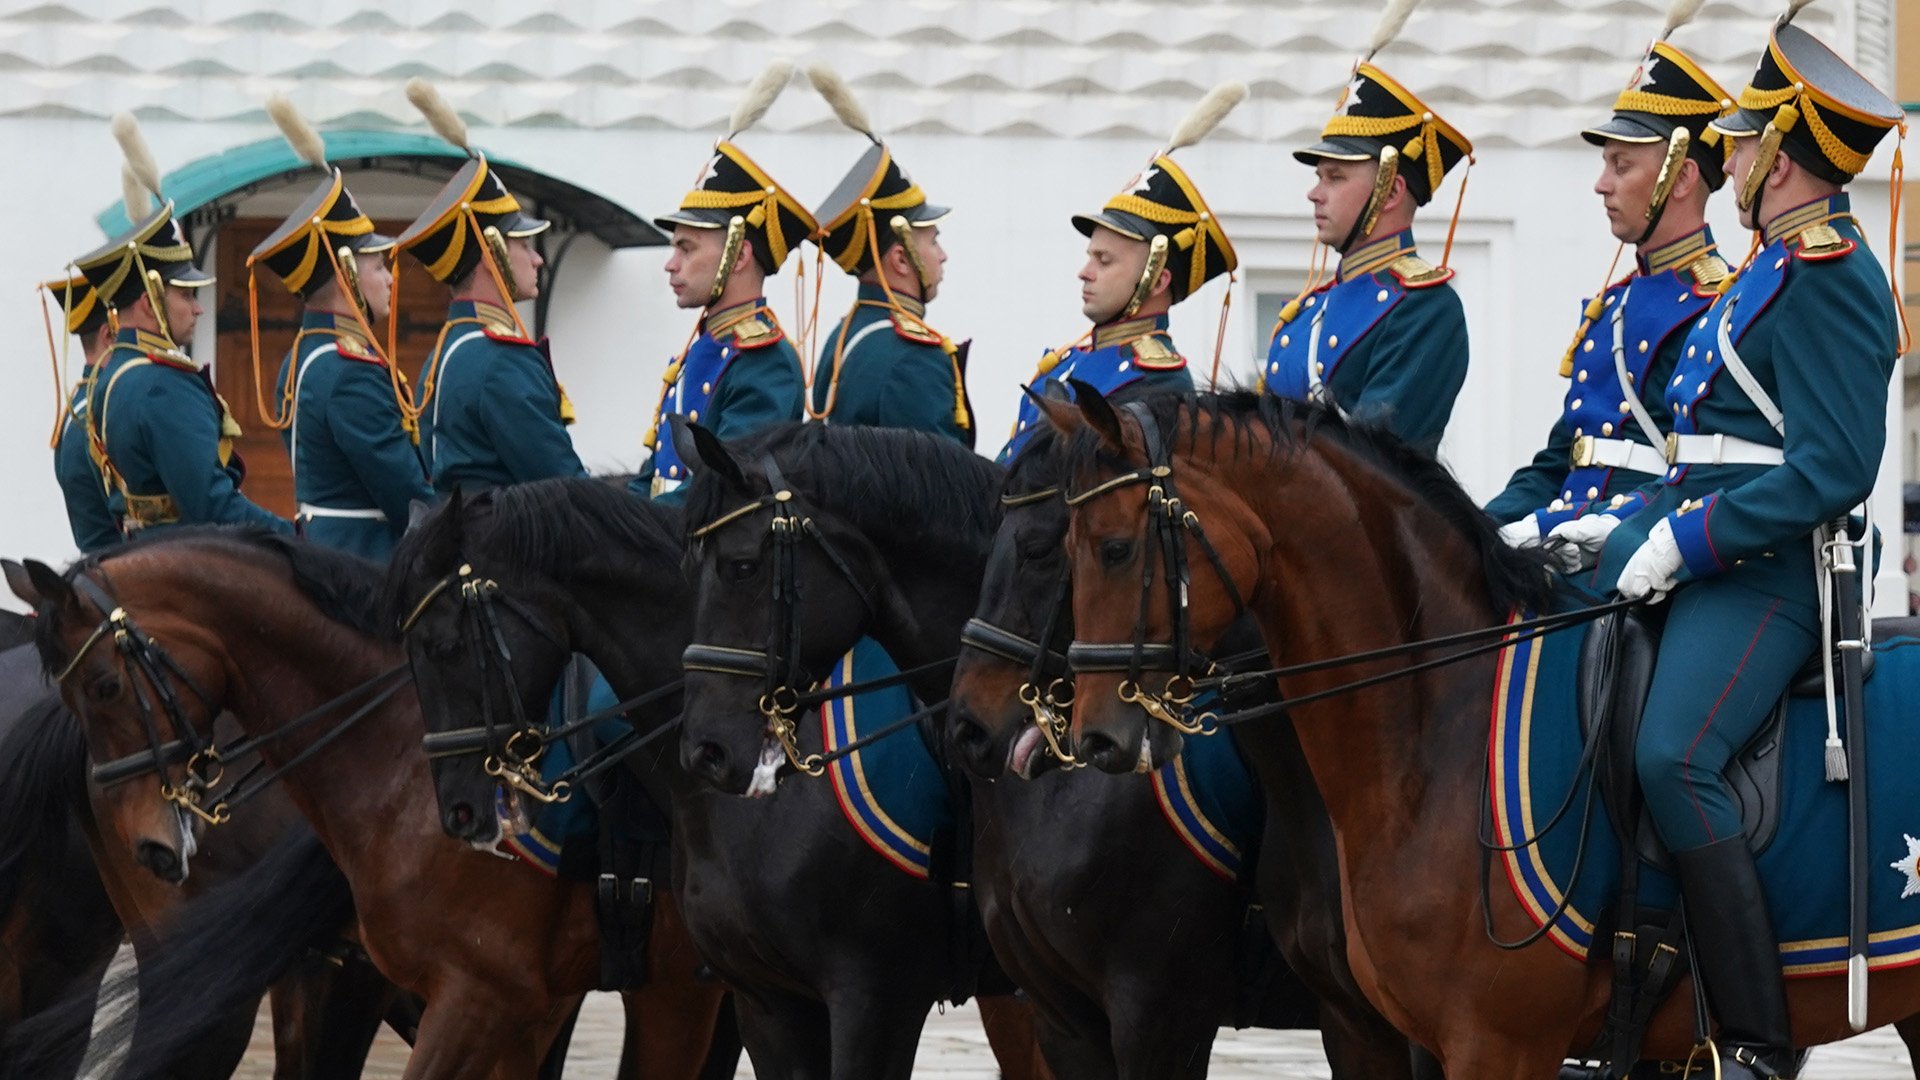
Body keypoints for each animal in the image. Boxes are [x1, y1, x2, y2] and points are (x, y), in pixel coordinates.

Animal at [1044, 388, 1920, 1076]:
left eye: (1115, 549)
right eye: (1065, 548)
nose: (1095, 739)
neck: (1437, 724)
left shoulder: (1499, 1044)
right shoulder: (1402, 1037)